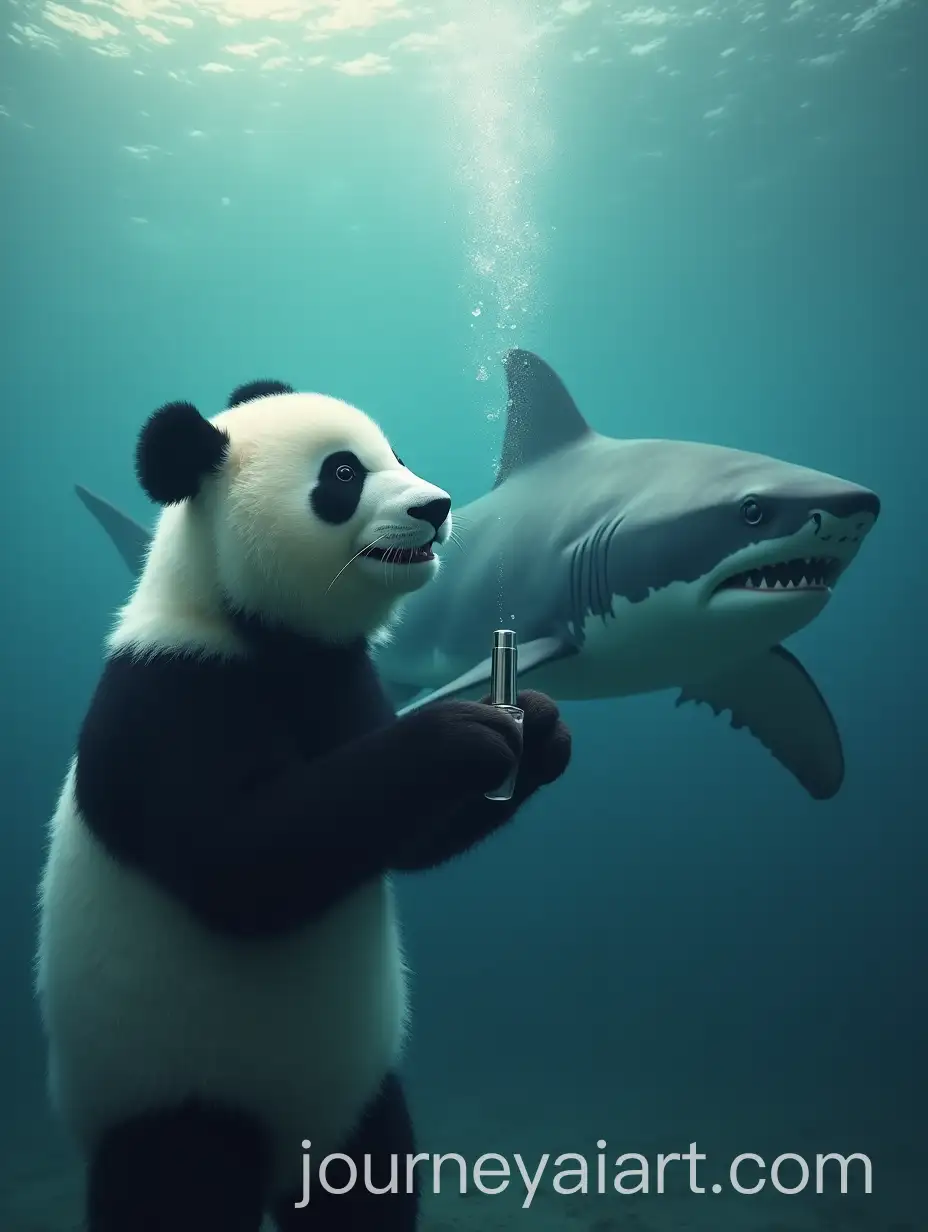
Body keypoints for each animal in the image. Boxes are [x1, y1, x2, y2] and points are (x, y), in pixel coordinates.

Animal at [36, 378, 571, 1232]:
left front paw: (538, 729)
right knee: (173, 1185)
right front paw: (458, 734)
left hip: (361, 1094)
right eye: (342, 476)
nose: (436, 506)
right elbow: (242, 865)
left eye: (397, 454)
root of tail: (283, 1158)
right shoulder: (168, 692)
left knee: (367, 1187)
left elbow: (400, 841)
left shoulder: (339, 676)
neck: (249, 622)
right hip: (168, 1084)